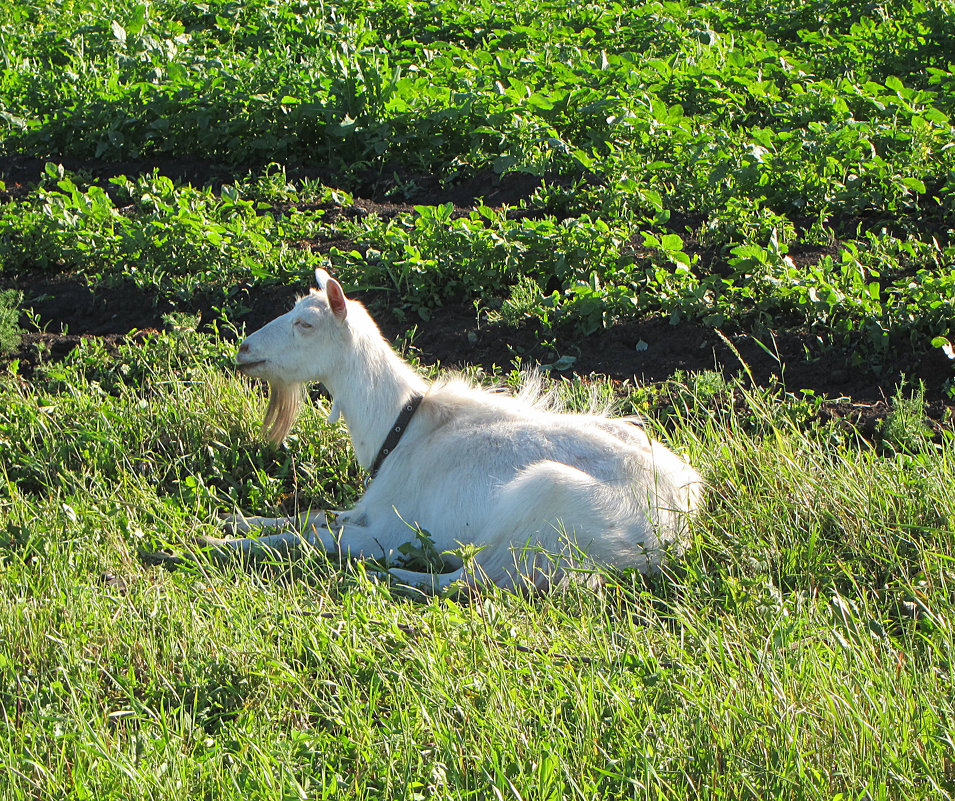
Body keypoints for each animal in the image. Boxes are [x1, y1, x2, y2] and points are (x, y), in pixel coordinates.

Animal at [209, 272, 704, 592]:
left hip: (545, 503)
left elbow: (314, 538)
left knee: (475, 579)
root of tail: (674, 524)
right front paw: (238, 521)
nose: (244, 348)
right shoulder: (366, 509)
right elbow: (312, 516)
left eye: (305, 323)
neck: (403, 428)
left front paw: (219, 542)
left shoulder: (387, 526)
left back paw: (394, 573)